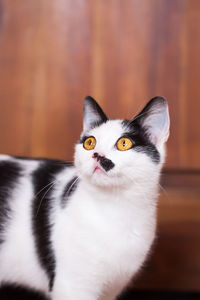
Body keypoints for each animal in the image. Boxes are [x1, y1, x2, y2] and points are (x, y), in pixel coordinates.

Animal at [0, 96, 170, 300]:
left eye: (124, 143)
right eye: (90, 142)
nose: (97, 154)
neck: (114, 209)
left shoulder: (111, 288)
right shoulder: (73, 287)